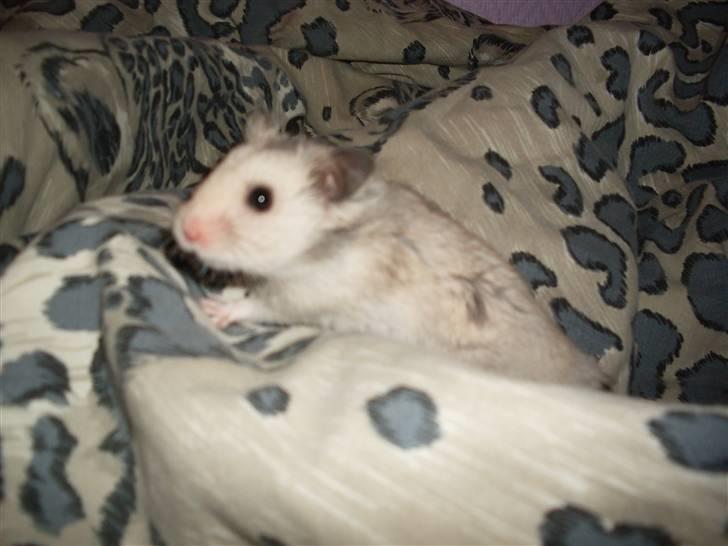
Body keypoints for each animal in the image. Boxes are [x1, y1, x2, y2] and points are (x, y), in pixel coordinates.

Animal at [172, 116, 606, 389]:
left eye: (260, 199)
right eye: (218, 167)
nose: (180, 229)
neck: (317, 248)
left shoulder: (305, 298)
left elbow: (259, 305)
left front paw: (215, 308)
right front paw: (227, 288)